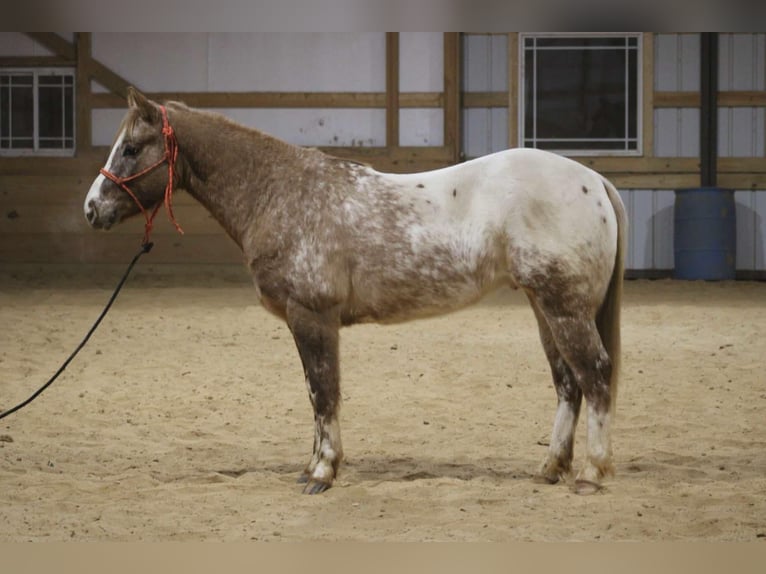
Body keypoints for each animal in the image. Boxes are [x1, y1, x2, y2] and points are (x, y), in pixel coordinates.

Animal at [84, 87, 626, 495]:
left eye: (131, 148)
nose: (92, 208)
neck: (280, 193)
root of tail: (594, 180)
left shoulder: (312, 316)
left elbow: (324, 392)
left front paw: (323, 473)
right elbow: (315, 393)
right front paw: (312, 466)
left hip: (564, 308)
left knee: (595, 376)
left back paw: (591, 474)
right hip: (544, 307)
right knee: (568, 383)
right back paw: (551, 468)